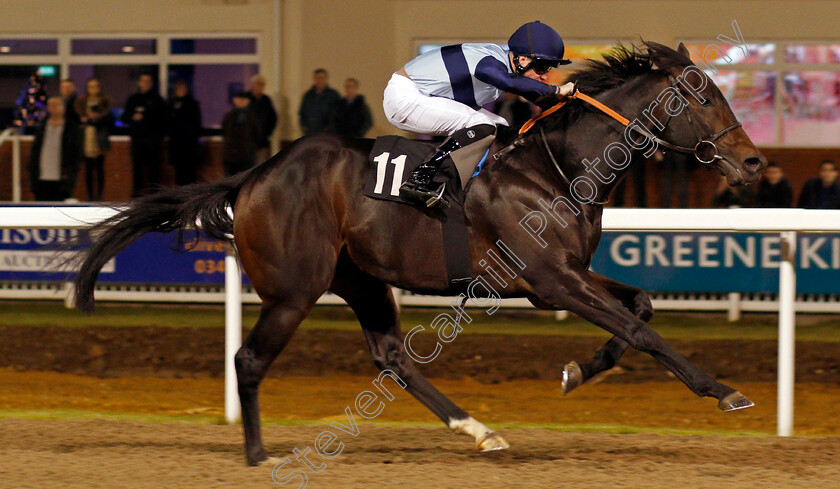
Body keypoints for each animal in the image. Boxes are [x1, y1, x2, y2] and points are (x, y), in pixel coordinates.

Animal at [74, 41, 768, 462]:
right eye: (703, 97)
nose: (754, 163)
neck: (559, 166)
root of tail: (255, 175)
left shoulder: (568, 274)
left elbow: (641, 307)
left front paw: (578, 371)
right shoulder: (551, 280)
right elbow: (641, 329)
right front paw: (724, 391)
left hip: (362, 279)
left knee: (391, 357)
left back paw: (478, 430)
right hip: (295, 289)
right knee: (248, 359)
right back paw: (257, 453)